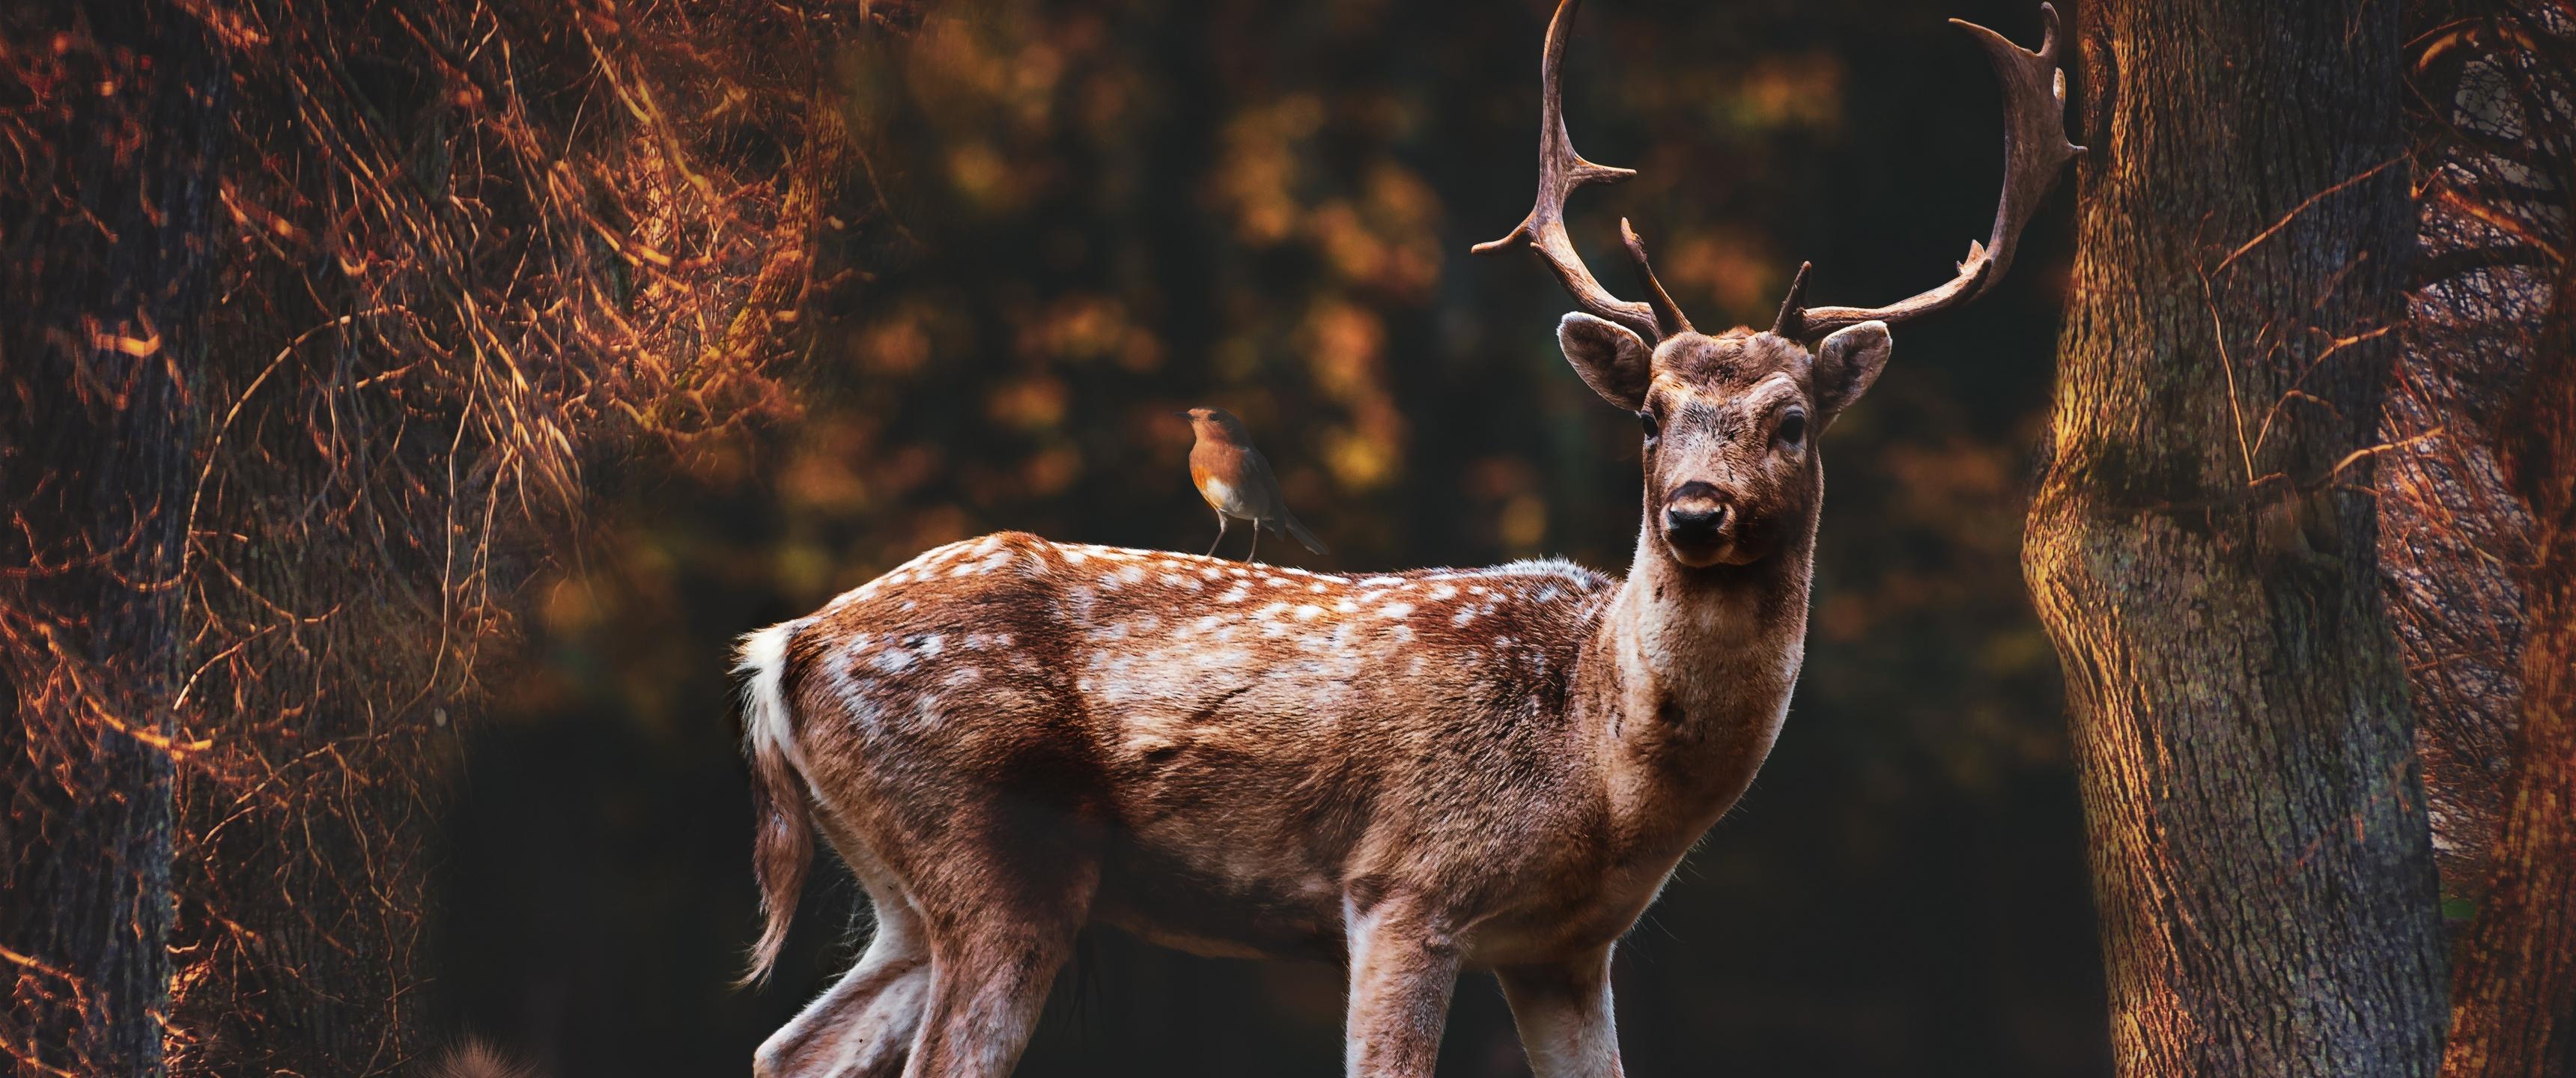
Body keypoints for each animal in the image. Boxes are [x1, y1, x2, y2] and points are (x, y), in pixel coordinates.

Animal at [732, 2, 2079, 1075]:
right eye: (1649, 415)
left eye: (1792, 421)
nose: (1695, 512)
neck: (1601, 769)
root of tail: (782, 649)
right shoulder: (1404, 884)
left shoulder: (1566, 951)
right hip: (997, 852)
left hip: (906, 891)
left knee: (790, 1048)